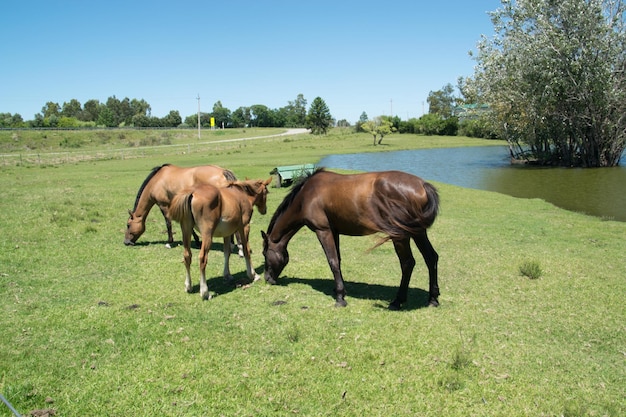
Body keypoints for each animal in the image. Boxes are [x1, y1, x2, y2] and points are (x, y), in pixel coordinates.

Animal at [260, 168, 442, 308]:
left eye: (264, 254)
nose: (268, 279)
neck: (306, 196)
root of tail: (422, 185)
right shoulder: (334, 231)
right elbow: (338, 260)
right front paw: (339, 290)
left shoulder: (323, 231)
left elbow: (332, 261)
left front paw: (340, 298)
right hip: (418, 232)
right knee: (431, 257)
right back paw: (432, 299)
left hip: (401, 236)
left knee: (407, 263)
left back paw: (398, 301)